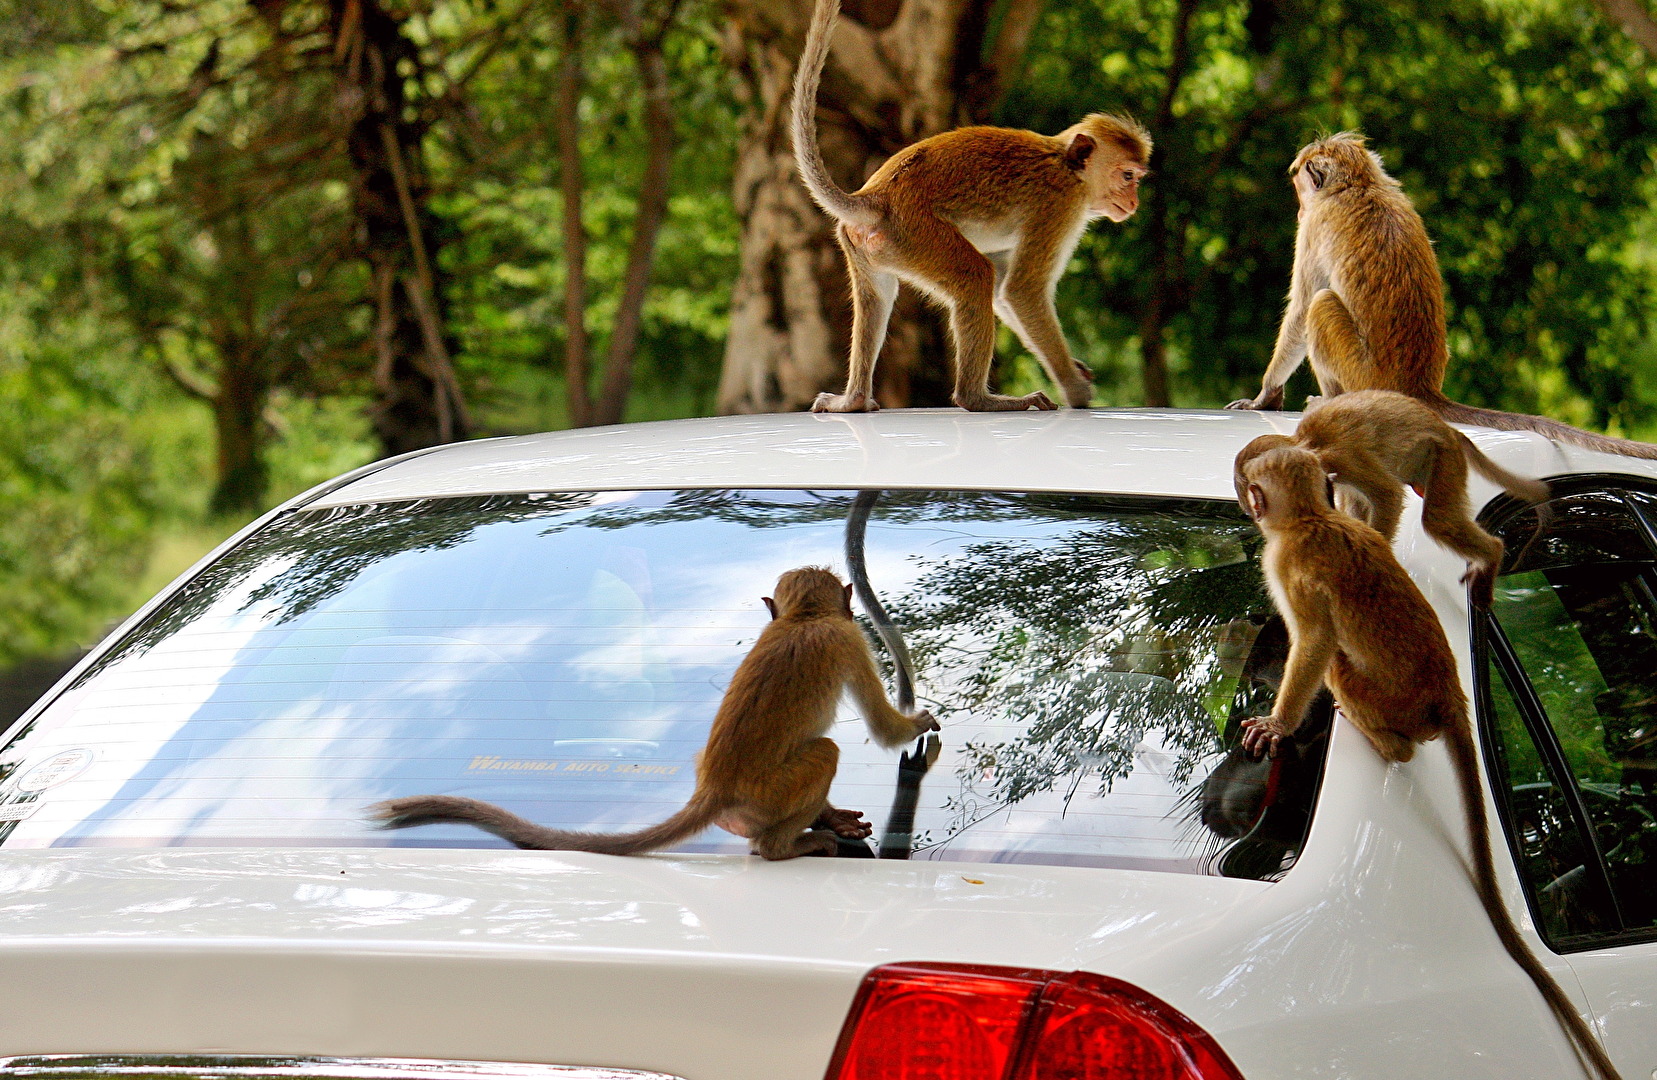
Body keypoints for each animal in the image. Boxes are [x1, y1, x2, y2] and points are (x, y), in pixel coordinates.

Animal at [371, 566, 939, 861]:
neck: (803, 619)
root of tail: (716, 790)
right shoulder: (848, 639)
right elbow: (883, 727)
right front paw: (919, 733)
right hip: (771, 794)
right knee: (823, 752)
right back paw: (784, 846)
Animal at [791, 0, 1150, 414]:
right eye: (1127, 176)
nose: (1134, 200)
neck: (1067, 165)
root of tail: (876, 196)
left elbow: (1006, 292)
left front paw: (1074, 370)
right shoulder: (1060, 207)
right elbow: (1022, 291)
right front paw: (1075, 389)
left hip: (869, 244)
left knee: (878, 295)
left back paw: (853, 399)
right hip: (917, 233)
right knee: (976, 276)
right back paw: (978, 399)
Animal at [1228, 131, 1657, 462]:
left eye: (1301, 189)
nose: (1300, 208)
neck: (1361, 185)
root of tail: (1419, 388)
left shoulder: (1315, 227)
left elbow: (1301, 309)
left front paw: (1265, 396)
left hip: (1360, 373)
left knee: (1321, 306)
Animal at [1233, 390, 1550, 607]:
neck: (1308, 444)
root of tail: (1446, 427)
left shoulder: (1343, 457)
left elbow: (1387, 495)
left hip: (1443, 455)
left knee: (1439, 520)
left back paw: (1492, 553)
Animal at [1236, 446, 1623, 1080]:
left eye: (1252, 488)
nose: (1246, 500)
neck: (1311, 517)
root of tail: (1449, 695)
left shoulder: (1289, 561)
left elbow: (1313, 640)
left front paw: (1278, 723)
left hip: (1388, 702)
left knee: (1337, 661)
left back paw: (1384, 743)